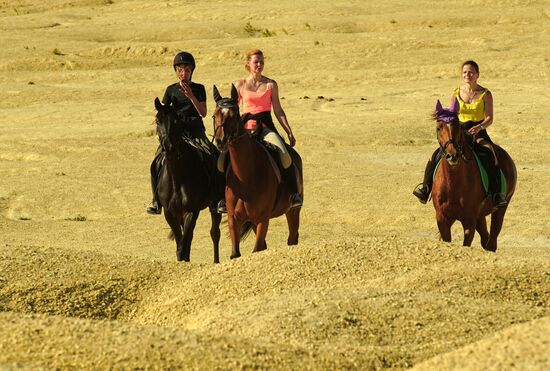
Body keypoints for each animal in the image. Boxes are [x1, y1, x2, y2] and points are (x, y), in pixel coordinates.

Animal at [153, 97, 222, 264]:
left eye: (176, 120)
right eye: (157, 121)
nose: (168, 146)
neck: (176, 176)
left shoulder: (191, 211)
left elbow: (184, 242)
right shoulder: (170, 213)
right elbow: (181, 242)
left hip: (214, 205)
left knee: (215, 233)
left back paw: (216, 261)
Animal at [213, 84, 304, 260]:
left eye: (234, 116)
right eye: (214, 115)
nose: (221, 141)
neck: (245, 176)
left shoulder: (263, 218)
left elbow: (257, 249)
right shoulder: (234, 219)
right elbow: (236, 254)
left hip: (292, 211)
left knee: (292, 237)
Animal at [434, 98, 520, 253]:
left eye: (458, 127)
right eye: (439, 128)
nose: (452, 155)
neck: (453, 183)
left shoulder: (469, 221)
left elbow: (466, 243)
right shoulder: (442, 219)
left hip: (501, 208)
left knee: (492, 241)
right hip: (480, 216)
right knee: (486, 238)